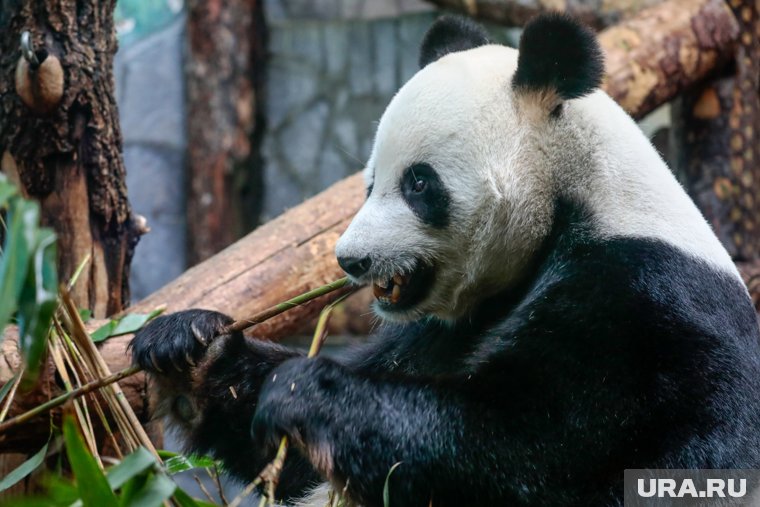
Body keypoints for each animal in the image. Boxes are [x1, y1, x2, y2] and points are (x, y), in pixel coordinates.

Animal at [129, 11, 760, 507]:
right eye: (369, 183)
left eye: (419, 184)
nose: (350, 260)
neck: (576, 197)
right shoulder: (440, 329)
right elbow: (302, 460)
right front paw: (188, 346)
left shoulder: (635, 311)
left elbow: (523, 447)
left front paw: (305, 391)